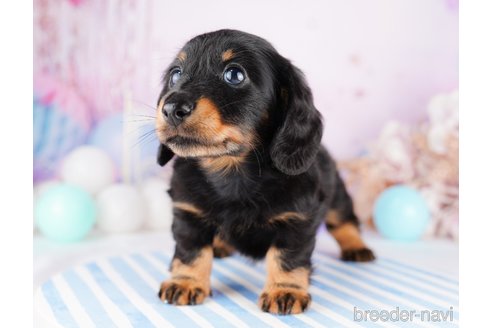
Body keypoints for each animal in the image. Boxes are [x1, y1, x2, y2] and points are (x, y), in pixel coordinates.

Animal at [156, 29, 374, 314]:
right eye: (175, 74)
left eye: (234, 74)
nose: (171, 109)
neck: (231, 171)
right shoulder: (188, 214)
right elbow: (191, 252)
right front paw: (185, 282)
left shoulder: (297, 221)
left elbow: (287, 258)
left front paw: (284, 290)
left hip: (337, 195)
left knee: (344, 222)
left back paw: (356, 247)